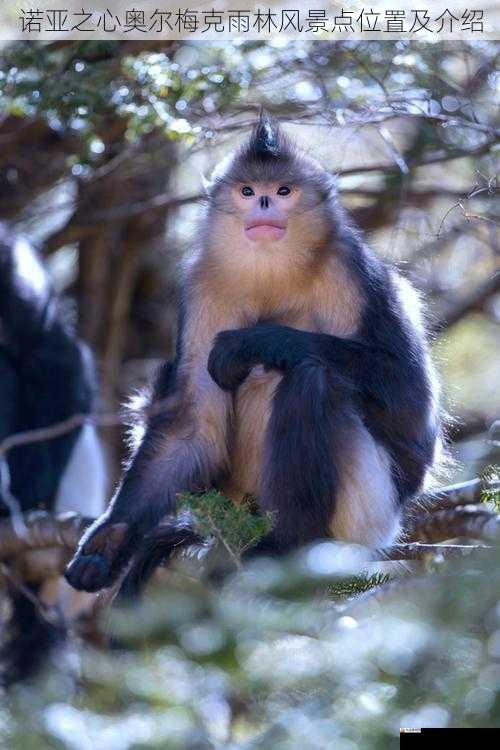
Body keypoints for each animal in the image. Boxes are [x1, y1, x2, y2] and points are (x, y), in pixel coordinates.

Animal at [63, 111, 442, 596]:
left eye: (282, 191)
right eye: (247, 192)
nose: (262, 203)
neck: (272, 271)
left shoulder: (351, 270)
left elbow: (410, 400)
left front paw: (254, 340)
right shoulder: (203, 285)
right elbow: (192, 425)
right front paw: (109, 541)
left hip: (366, 513)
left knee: (307, 377)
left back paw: (289, 543)